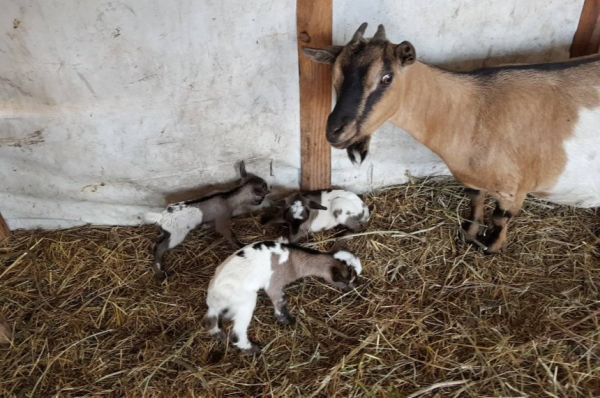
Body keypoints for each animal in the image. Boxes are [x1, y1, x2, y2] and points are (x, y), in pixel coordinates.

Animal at [202, 238, 360, 352]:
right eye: (348, 280)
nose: (356, 287)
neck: (293, 261)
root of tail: (214, 297)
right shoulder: (274, 284)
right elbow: (281, 301)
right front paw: (287, 320)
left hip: (221, 308)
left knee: (210, 321)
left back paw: (220, 336)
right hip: (245, 302)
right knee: (237, 333)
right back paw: (253, 350)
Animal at [304, 22, 600, 252]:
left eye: (387, 77)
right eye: (335, 74)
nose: (335, 131)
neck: (473, 109)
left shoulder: (512, 190)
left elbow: (500, 219)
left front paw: (490, 248)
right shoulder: (473, 180)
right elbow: (475, 203)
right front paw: (468, 235)